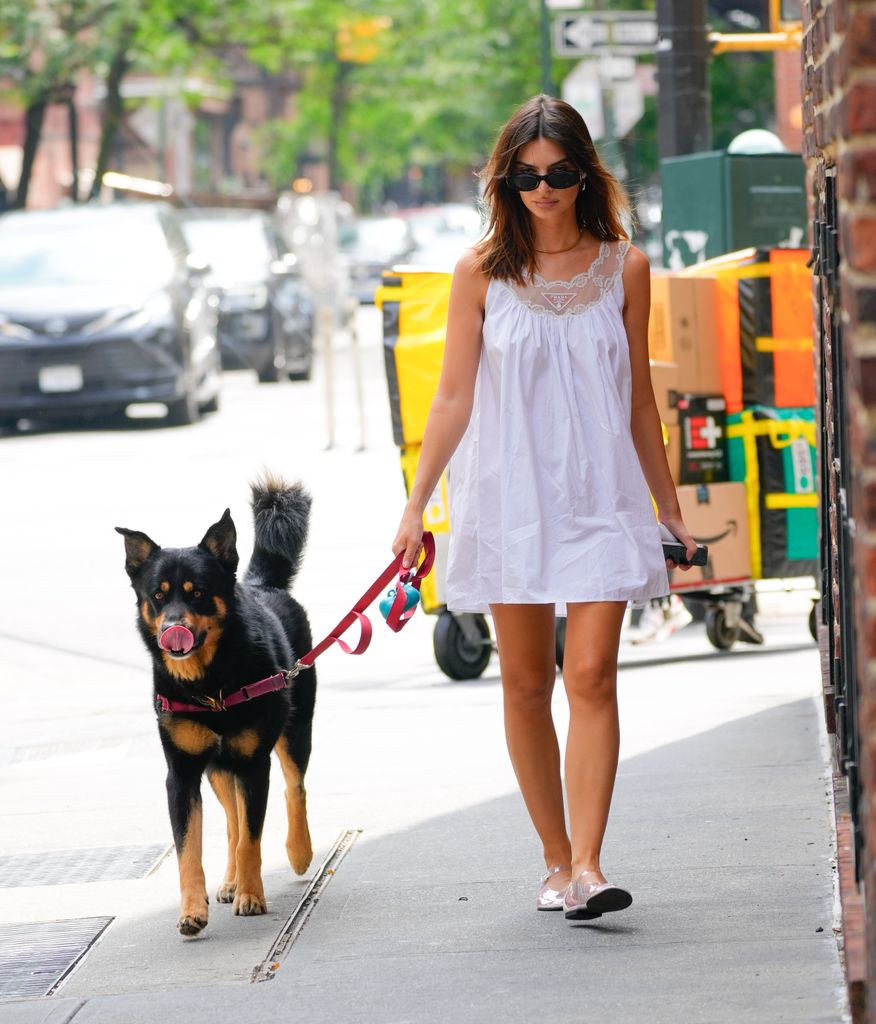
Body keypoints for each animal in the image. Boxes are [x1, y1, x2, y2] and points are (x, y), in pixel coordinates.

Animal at [116, 475, 315, 933]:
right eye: (157, 596)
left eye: (199, 594)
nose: (173, 628)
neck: (209, 686)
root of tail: (263, 585)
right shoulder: (182, 774)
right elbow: (190, 849)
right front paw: (192, 910)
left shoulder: (254, 764)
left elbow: (252, 840)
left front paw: (252, 895)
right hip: (218, 767)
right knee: (231, 822)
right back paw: (228, 881)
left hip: (293, 731)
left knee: (293, 787)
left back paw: (298, 852)